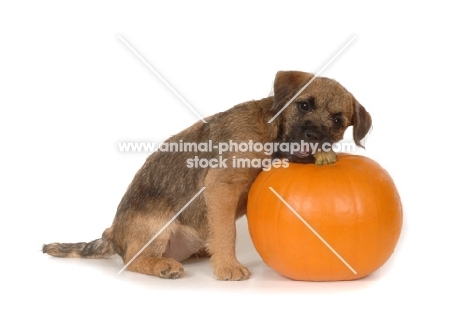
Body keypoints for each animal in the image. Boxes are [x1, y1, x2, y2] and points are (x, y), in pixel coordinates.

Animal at [44, 71, 372, 280]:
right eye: (304, 105)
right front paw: (228, 266)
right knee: (132, 259)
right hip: (155, 227)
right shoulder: (221, 187)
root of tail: (112, 233)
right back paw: (162, 266)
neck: (269, 133)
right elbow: (227, 230)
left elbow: (222, 228)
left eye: (338, 121)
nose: (315, 136)